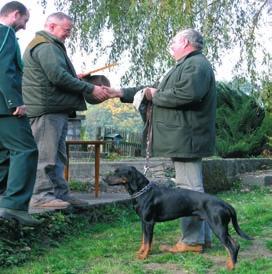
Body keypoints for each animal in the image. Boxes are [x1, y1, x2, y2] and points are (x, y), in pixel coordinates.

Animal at [105, 165, 253, 270]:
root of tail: (225, 203)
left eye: (117, 172)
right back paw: (231, 263)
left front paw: (144, 256)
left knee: (230, 246)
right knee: (235, 244)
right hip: (222, 228)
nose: (103, 179)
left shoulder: (149, 222)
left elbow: (148, 242)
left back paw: (231, 267)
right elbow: (143, 240)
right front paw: (140, 252)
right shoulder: (143, 222)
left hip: (218, 227)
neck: (143, 192)